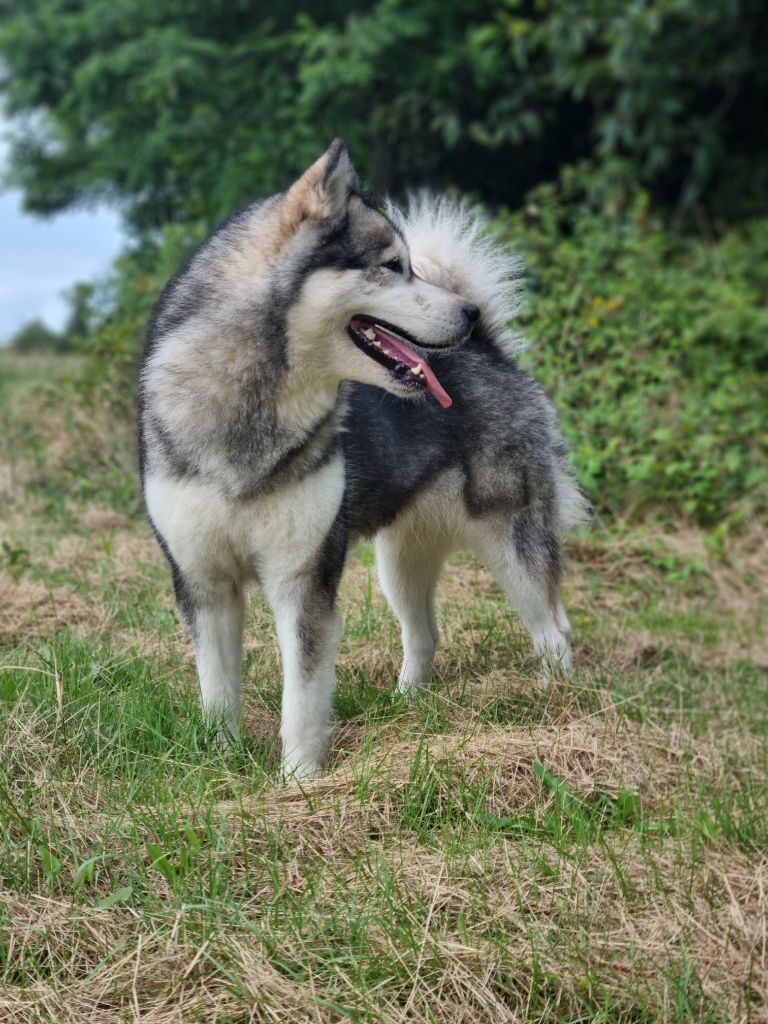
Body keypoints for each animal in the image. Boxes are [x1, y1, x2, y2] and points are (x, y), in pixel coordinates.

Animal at [140, 136, 589, 774]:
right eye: (392, 266)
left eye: (410, 264)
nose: (468, 313)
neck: (251, 412)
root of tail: (490, 351)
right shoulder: (203, 583)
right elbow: (217, 690)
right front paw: (220, 762)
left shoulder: (302, 580)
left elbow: (302, 697)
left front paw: (299, 779)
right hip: (398, 562)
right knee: (424, 634)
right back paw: (407, 703)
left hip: (513, 547)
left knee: (552, 631)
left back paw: (557, 707)